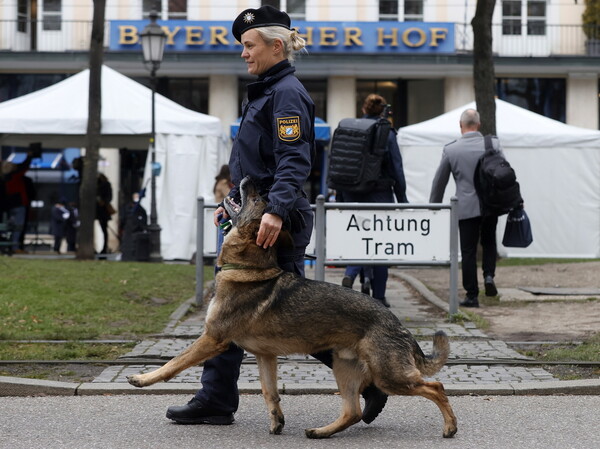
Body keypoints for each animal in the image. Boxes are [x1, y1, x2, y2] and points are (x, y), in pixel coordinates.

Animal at [125, 177, 454, 440]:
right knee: (353, 411)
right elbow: (270, 392)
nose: (249, 179)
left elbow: (174, 363)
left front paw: (144, 378)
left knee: (435, 386)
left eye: (258, 199)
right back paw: (322, 431)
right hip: (344, 367)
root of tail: (398, 325)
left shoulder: (212, 339)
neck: (248, 268)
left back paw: (450, 427)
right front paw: (277, 423)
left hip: (388, 375)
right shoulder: (264, 356)